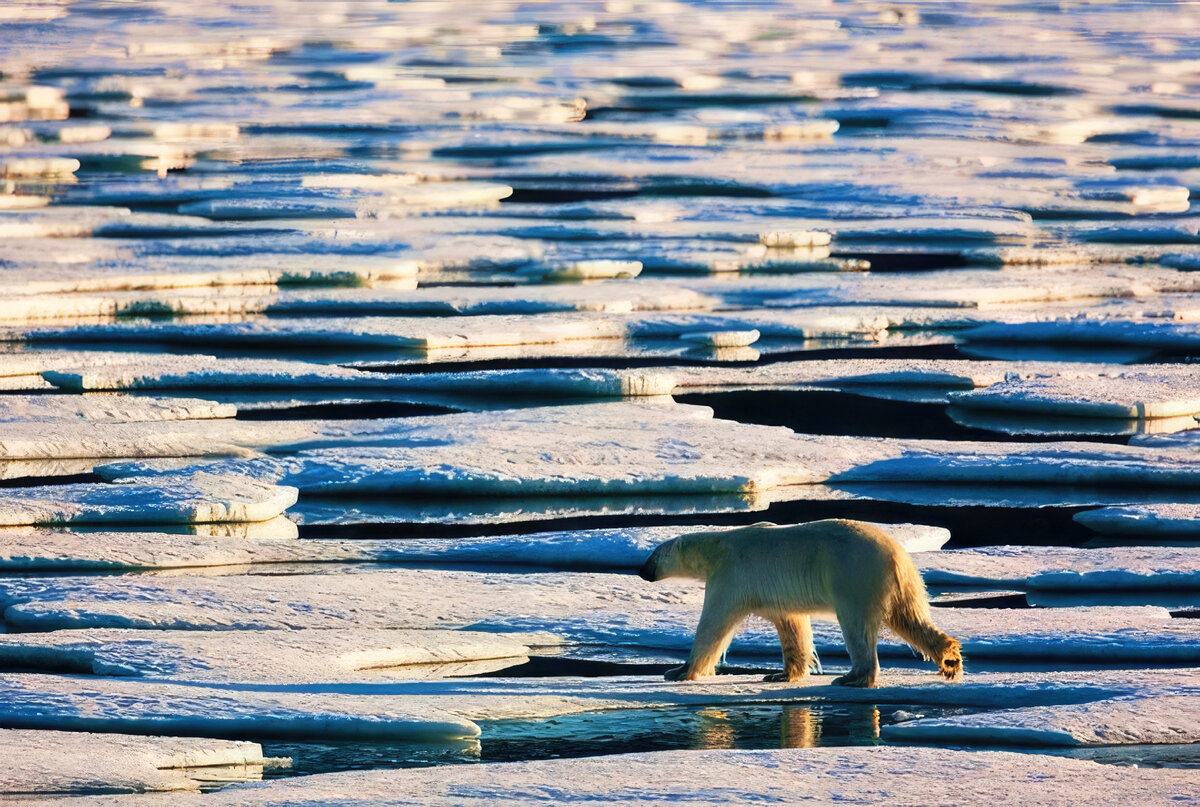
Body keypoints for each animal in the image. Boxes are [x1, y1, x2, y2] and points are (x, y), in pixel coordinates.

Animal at [638, 516, 964, 686]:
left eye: (652, 554)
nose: (641, 571)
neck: (718, 547)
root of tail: (896, 554)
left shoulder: (731, 576)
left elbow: (713, 625)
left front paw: (680, 671)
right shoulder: (775, 595)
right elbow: (792, 626)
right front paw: (780, 674)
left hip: (854, 575)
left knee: (857, 627)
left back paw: (852, 677)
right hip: (904, 584)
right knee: (911, 619)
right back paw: (950, 659)